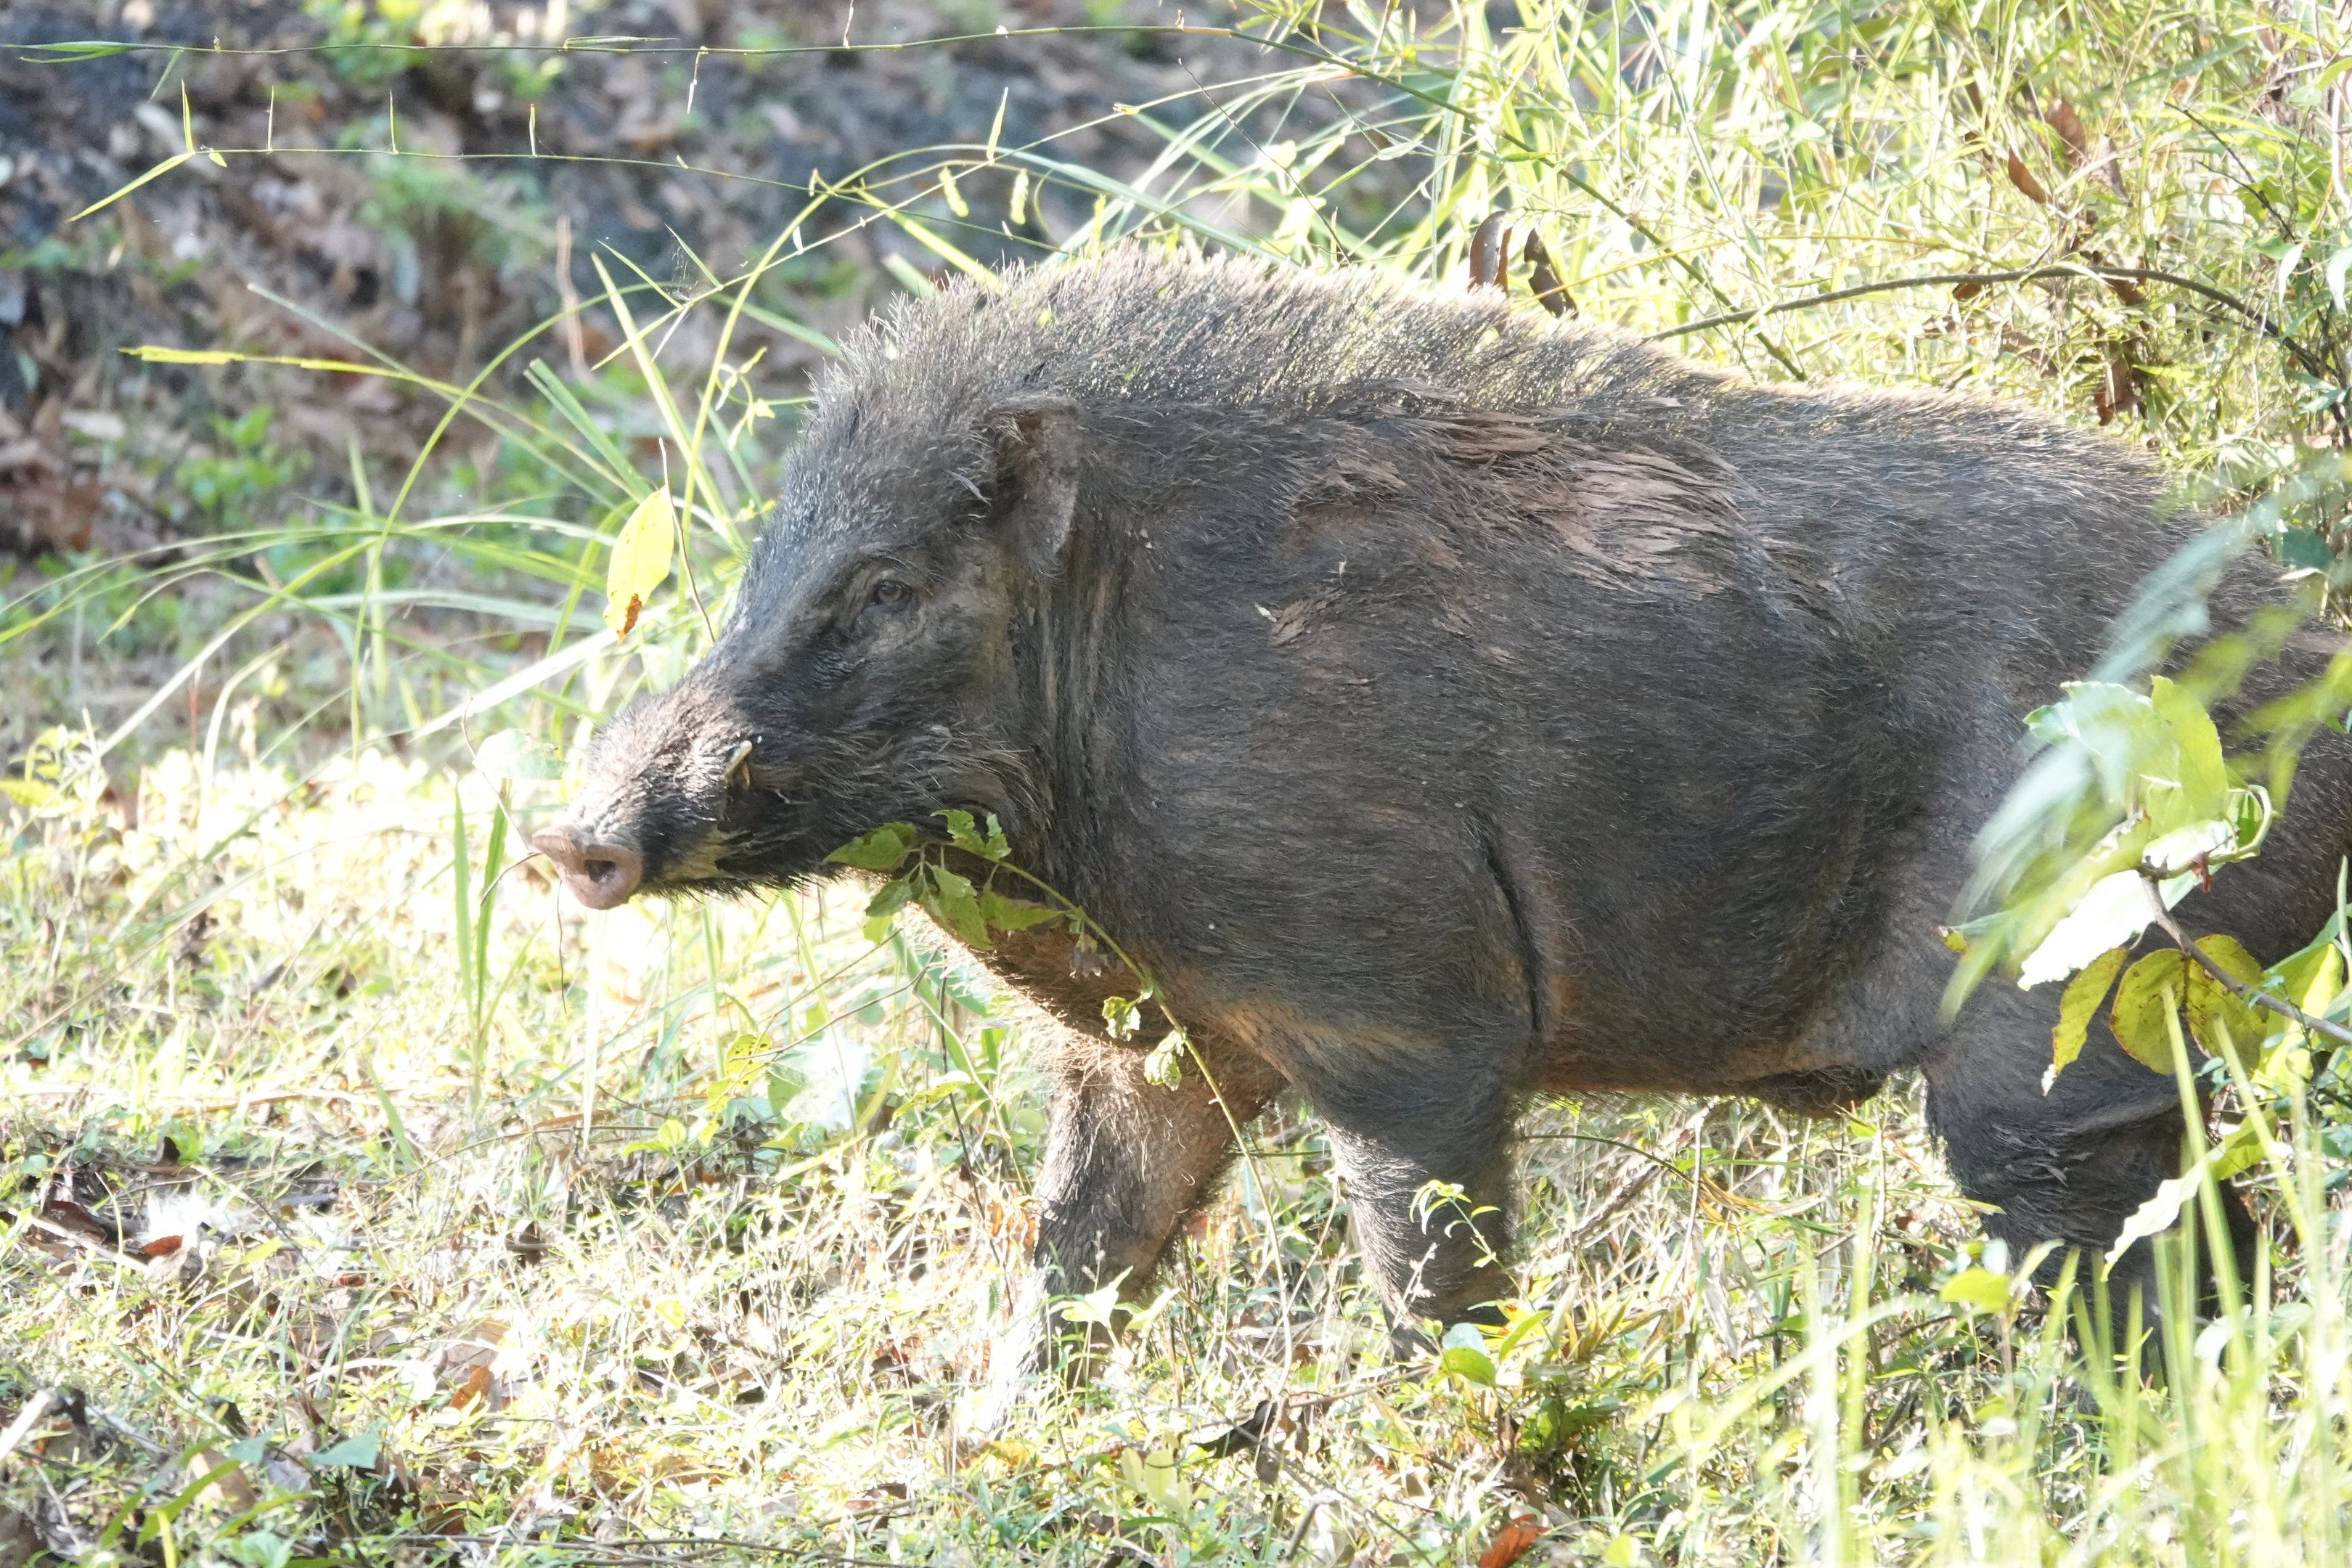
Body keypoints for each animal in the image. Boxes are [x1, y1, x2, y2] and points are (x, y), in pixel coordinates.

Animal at [536, 252, 2346, 1405]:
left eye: (884, 589)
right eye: (769, 562)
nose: (569, 839)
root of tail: (2311, 657)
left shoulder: (1407, 1019)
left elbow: (1433, 1291)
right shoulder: (1154, 1052)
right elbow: (1075, 1261)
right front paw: (986, 1443)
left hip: (2063, 1028)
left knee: (2143, 1286)